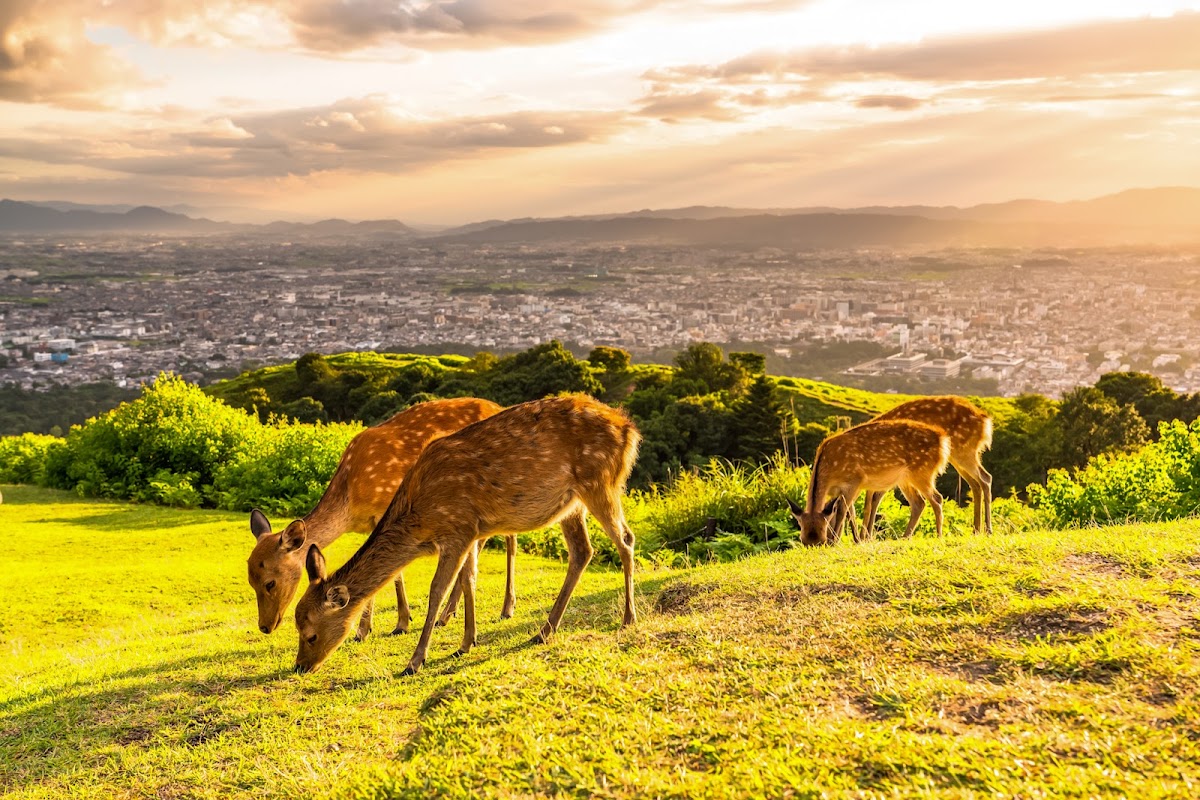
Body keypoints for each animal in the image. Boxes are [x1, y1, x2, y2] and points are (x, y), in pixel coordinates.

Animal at [247, 396, 516, 641]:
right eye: (250, 580)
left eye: (270, 582)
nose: (265, 626)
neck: (351, 499)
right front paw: (391, 622)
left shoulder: (385, 508)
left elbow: (395, 573)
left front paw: (379, 627)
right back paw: (448, 614)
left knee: (509, 539)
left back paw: (506, 608)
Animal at [292, 394, 641, 676]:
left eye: (310, 634)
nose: (300, 667)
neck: (419, 516)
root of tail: (629, 428)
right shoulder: (473, 530)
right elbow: (470, 578)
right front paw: (466, 643)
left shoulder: (457, 528)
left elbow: (438, 589)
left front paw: (414, 661)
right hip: (571, 504)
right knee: (583, 551)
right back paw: (543, 631)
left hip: (600, 482)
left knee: (625, 538)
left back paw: (628, 618)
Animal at [787, 419, 950, 546]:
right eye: (803, 540)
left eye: (820, 537)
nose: (818, 544)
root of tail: (943, 441)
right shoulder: (840, 491)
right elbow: (850, 513)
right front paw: (853, 539)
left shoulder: (855, 481)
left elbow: (842, 511)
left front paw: (835, 541)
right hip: (905, 478)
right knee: (919, 502)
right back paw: (905, 537)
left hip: (922, 472)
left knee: (937, 498)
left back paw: (939, 535)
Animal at [869, 396, 994, 534]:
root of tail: (985, 420)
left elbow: (873, 498)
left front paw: (865, 535)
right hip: (958, 456)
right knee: (975, 484)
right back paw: (976, 529)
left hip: (964, 452)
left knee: (985, 478)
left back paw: (988, 529)